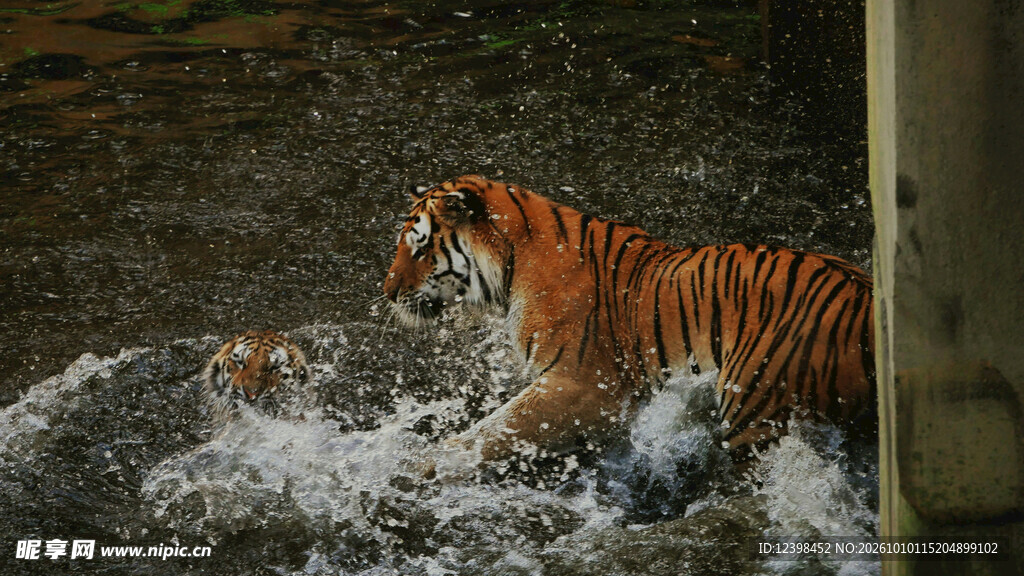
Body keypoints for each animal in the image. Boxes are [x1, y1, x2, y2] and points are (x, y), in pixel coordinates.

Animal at [383, 175, 875, 465]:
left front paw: (427, 466)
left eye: (419, 247)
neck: (512, 264)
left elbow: (493, 430)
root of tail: (867, 301)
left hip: (754, 407)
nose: (386, 292)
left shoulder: (581, 387)